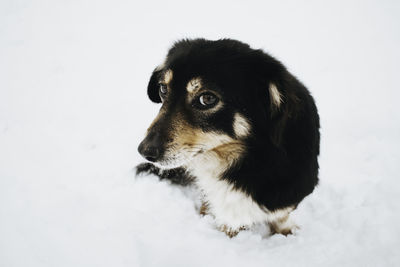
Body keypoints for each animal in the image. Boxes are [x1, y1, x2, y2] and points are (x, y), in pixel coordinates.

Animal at [136, 38, 320, 238]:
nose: (144, 151)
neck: (249, 162)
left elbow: (281, 215)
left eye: (207, 98)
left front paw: (286, 232)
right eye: (163, 89)